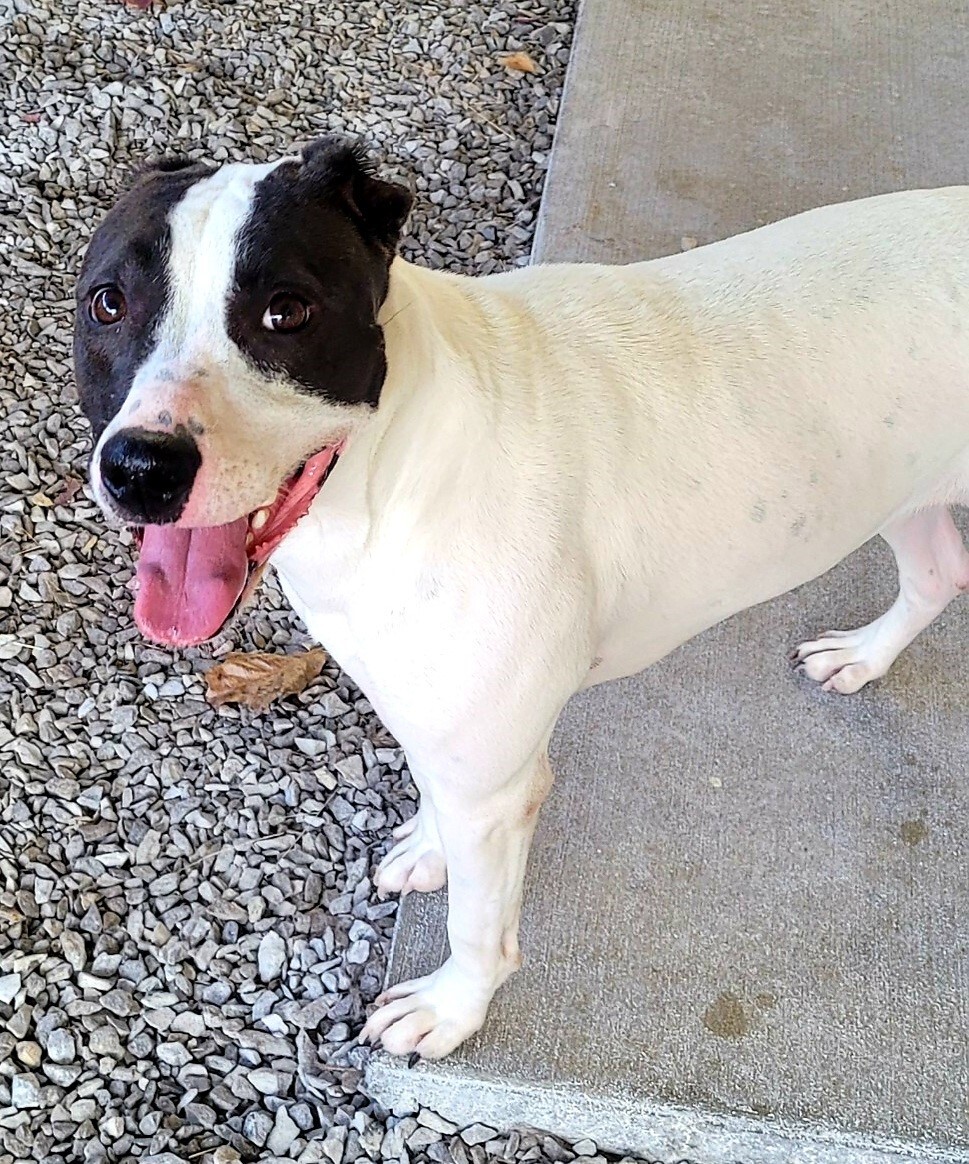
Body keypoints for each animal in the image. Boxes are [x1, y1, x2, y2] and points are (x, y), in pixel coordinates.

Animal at [71, 136, 969, 1056]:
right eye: (107, 302)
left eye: (287, 312)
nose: (142, 469)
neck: (392, 469)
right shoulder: (444, 734)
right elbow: (436, 801)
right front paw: (428, 850)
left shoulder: (496, 786)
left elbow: (476, 924)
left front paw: (450, 1009)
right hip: (899, 492)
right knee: (938, 572)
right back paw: (860, 657)